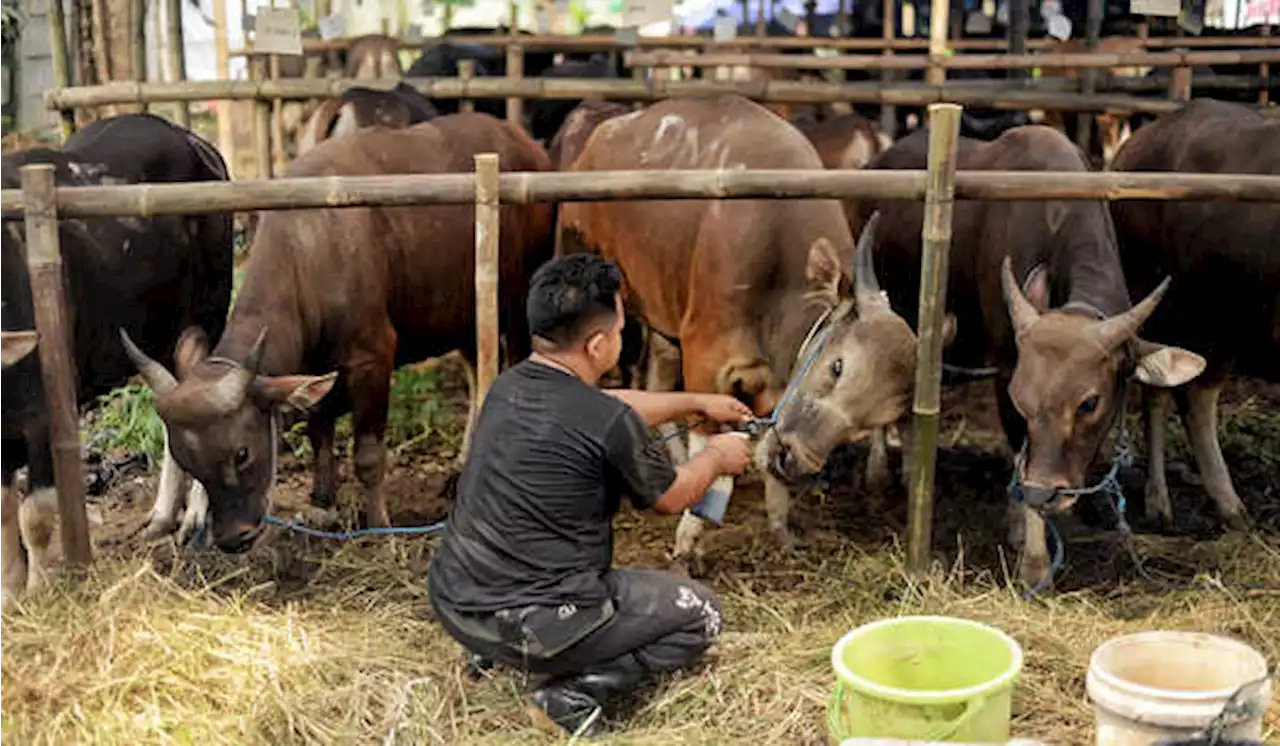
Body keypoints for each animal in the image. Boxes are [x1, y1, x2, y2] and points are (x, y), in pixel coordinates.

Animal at [120, 115, 555, 547]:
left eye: (241, 453)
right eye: (187, 462)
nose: (232, 538)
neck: (310, 253)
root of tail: (526, 144)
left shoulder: (372, 359)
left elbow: (367, 455)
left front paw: (377, 525)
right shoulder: (316, 367)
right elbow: (319, 433)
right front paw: (323, 499)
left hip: (519, 296)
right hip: (461, 312)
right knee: (476, 370)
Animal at [560, 94, 921, 573]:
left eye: (870, 424)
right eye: (837, 366)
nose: (796, 461)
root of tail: (600, 134)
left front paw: (782, 529)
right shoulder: (707, 361)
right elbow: (718, 460)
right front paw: (688, 545)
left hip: (664, 321)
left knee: (657, 382)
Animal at [855, 124, 1203, 588]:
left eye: (1089, 403)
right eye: (1022, 400)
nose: (1045, 491)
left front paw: (1020, 522)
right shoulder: (1005, 369)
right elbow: (1020, 452)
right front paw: (1035, 562)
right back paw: (884, 469)